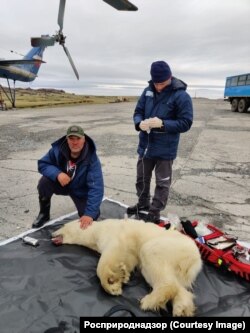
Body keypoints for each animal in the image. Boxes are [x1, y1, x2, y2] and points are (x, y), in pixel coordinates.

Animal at [51, 217, 202, 316]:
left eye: (62, 226)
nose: (51, 234)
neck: (96, 230)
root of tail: (197, 259)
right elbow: (127, 260)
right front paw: (121, 276)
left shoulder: (113, 235)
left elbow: (111, 254)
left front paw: (112, 286)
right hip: (179, 263)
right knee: (179, 285)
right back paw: (181, 309)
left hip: (168, 246)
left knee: (151, 257)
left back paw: (148, 301)